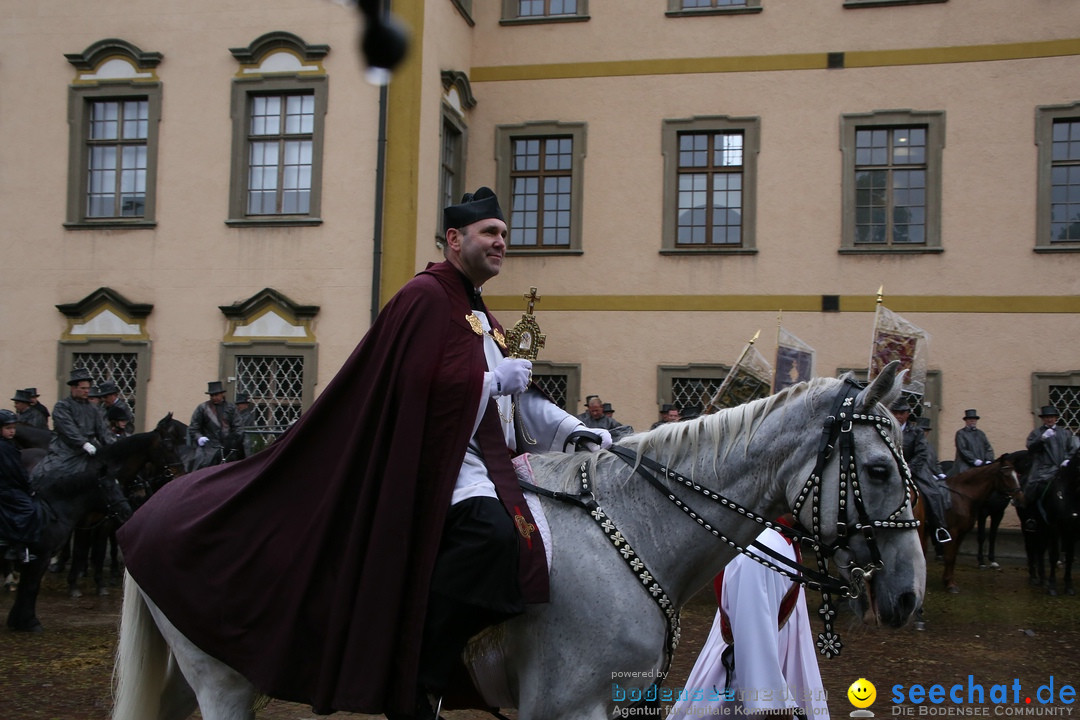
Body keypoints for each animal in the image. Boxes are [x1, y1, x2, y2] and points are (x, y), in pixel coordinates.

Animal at [109, 362, 924, 716]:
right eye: (881, 468)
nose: (910, 593)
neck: (632, 531)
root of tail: (147, 511)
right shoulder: (562, 710)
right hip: (221, 682)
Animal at [941, 453, 1023, 595]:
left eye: (1017, 474)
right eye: (1006, 475)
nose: (1020, 498)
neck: (963, 494)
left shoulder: (995, 515)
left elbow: (992, 536)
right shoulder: (960, 527)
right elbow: (979, 538)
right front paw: (981, 562)